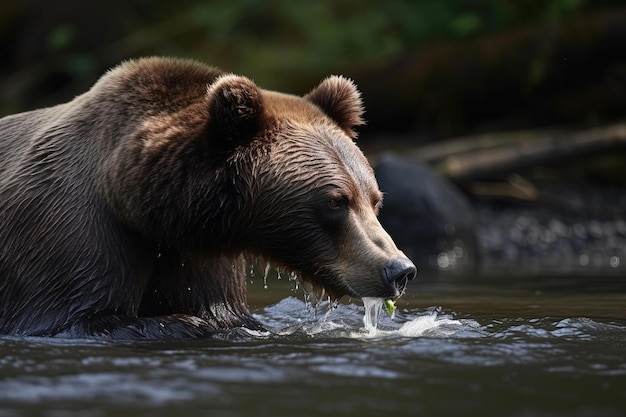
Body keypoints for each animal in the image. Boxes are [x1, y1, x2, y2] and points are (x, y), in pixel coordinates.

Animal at [0, 57, 414, 338]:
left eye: (374, 199)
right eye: (334, 200)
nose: (399, 269)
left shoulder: (196, 255)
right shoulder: (70, 230)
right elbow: (79, 318)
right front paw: (196, 324)